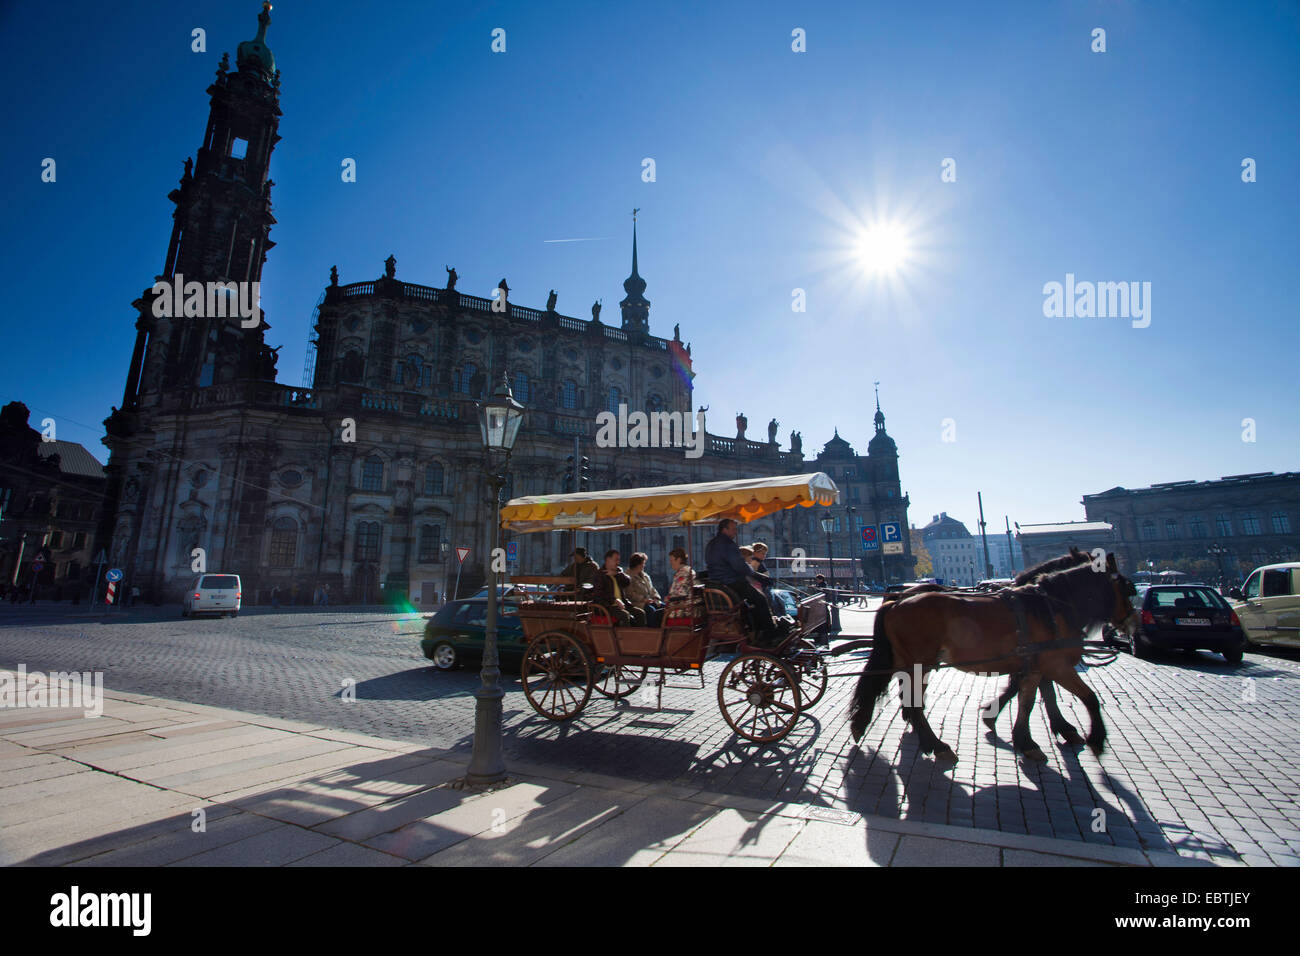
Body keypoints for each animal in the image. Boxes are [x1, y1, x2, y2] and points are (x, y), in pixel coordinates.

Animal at [847, 554, 1133, 764]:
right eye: (1128, 588)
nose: (1130, 623)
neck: (1049, 606)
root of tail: (894, 602)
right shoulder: (1055, 664)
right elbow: (1086, 697)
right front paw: (1093, 738)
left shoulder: (1035, 665)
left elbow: (1029, 699)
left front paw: (1022, 735)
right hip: (919, 663)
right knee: (913, 703)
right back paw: (937, 745)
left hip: (910, 662)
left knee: (903, 696)